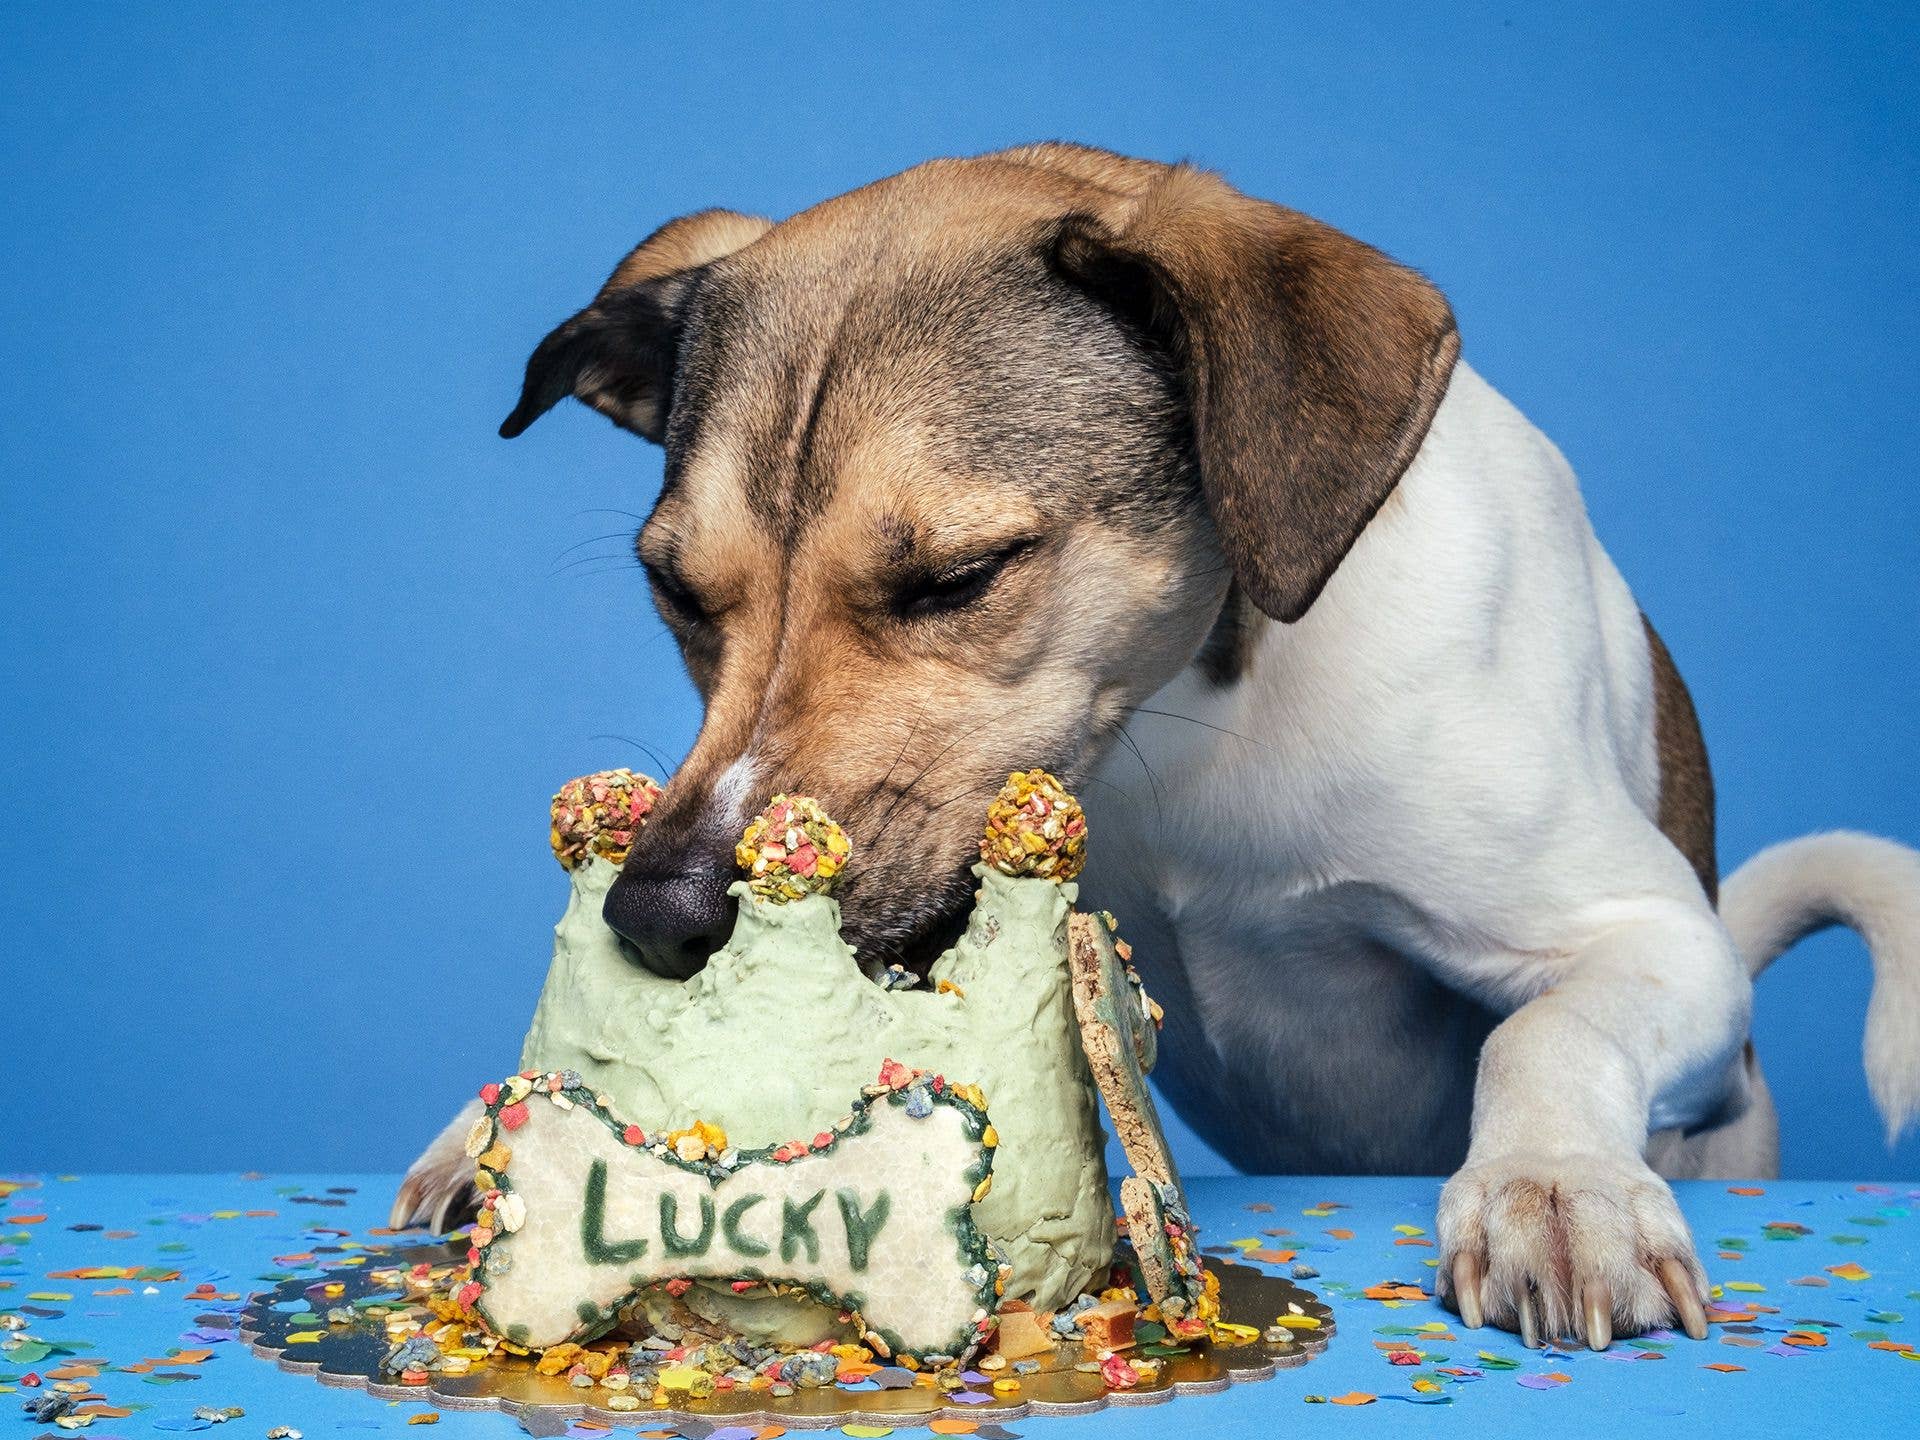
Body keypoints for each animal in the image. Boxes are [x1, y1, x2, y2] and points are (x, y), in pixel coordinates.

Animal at [393, 144, 1920, 1351]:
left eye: (959, 576)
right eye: (674, 589)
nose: (662, 914)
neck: (1176, 729)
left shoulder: (1653, 937)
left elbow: (1545, 1033)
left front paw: (1557, 1191)